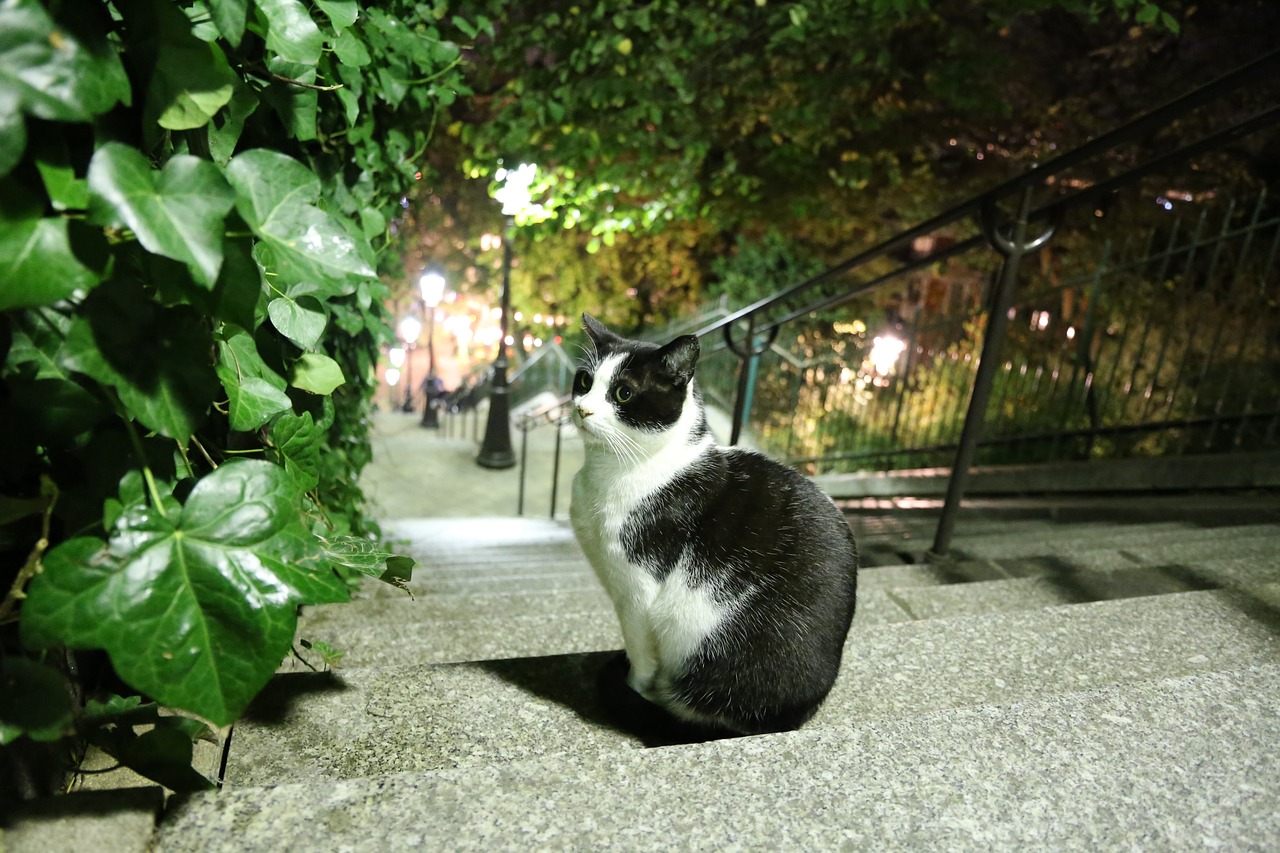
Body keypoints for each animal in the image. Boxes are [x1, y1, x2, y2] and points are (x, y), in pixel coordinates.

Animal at [570, 312, 860, 732]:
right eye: (584, 381)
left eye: (623, 393)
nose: (583, 409)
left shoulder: (638, 594)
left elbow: (641, 657)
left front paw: (632, 686)